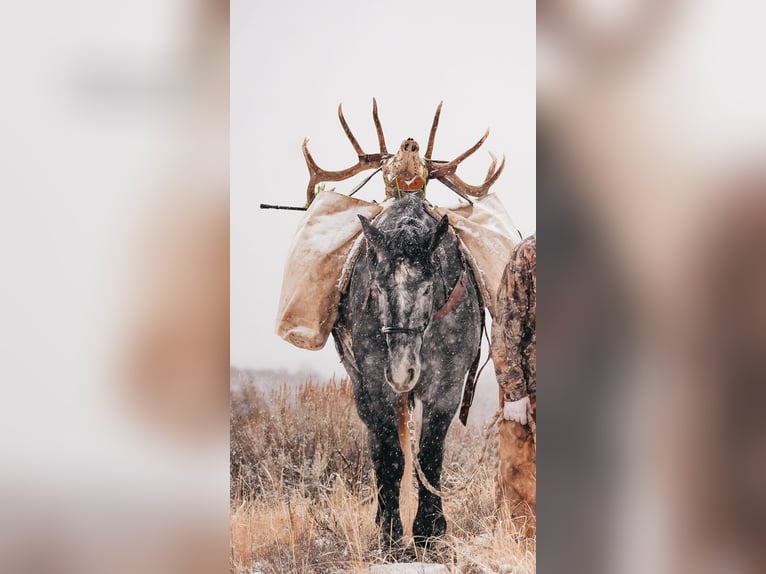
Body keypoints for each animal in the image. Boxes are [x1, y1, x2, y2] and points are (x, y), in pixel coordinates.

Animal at [331, 193, 483, 545]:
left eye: (427, 288)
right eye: (377, 287)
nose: (402, 372)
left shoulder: (447, 387)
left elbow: (429, 454)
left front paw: (429, 530)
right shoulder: (378, 382)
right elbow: (390, 456)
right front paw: (392, 535)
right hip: (360, 385)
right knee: (375, 440)